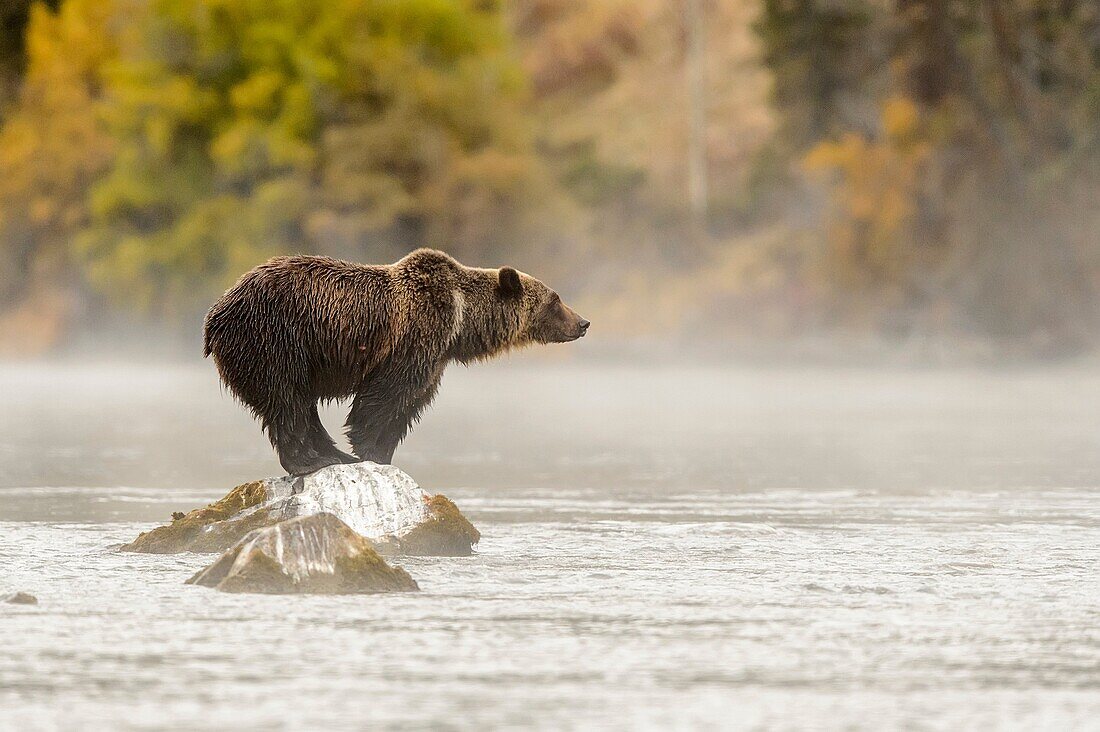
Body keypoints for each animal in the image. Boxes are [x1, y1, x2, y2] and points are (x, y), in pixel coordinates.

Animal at [202, 246, 589, 473]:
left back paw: (331, 455)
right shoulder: (413, 336)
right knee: (286, 401)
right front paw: (368, 449)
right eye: (555, 299)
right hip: (274, 341)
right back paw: (311, 460)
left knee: (299, 405)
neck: (460, 322)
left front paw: (382, 453)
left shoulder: (435, 358)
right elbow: (385, 396)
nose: (583, 322)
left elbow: (410, 403)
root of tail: (216, 311)